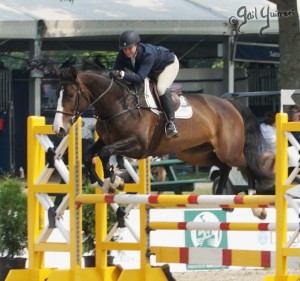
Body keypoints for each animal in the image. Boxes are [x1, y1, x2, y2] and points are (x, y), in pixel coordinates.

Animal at [51, 66, 274, 218]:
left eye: (70, 94)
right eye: (57, 94)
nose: (58, 129)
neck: (117, 104)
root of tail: (229, 103)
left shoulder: (137, 145)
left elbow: (105, 153)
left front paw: (115, 181)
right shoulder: (107, 140)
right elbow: (89, 155)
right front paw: (107, 184)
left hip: (229, 150)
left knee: (246, 165)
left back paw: (255, 205)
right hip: (197, 153)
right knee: (223, 166)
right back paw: (221, 198)